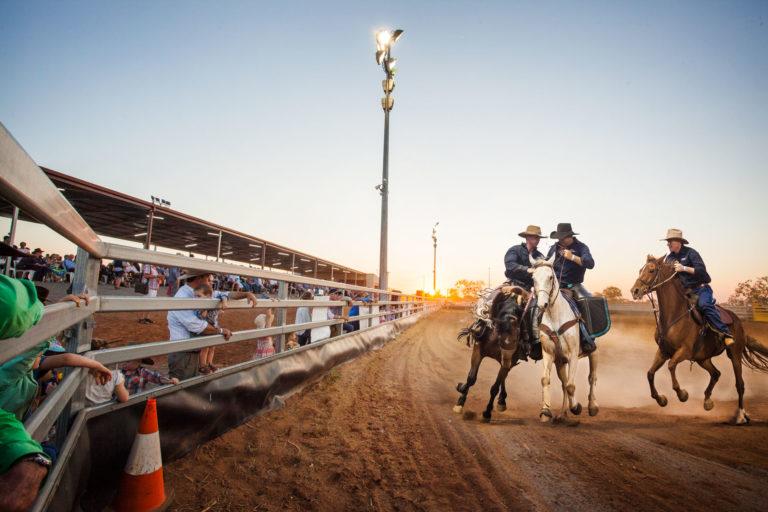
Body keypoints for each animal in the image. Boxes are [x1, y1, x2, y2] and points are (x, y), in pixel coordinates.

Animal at [456, 286, 528, 422]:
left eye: (517, 338)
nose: (509, 345)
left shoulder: (509, 360)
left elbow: (495, 387)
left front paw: (487, 413)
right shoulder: (478, 350)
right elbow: (471, 378)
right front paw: (460, 402)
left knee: (503, 378)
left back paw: (501, 401)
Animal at [532, 255, 596, 420]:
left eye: (550, 277)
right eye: (533, 278)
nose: (542, 304)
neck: (555, 317)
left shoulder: (573, 355)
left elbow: (571, 386)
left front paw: (576, 407)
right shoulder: (549, 354)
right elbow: (546, 380)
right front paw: (545, 410)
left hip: (594, 352)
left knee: (591, 377)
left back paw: (592, 406)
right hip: (560, 362)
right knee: (564, 383)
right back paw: (562, 413)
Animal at [632, 253, 768, 424]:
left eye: (651, 270)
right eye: (640, 270)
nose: (634, 291)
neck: (674, 315)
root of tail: (738, 322)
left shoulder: (684, 351)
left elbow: (671, 366)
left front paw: (682, 394)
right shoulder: (663, 351)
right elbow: (650, 373)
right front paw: (661, 399)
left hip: (734, 354)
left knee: (740, 385)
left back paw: (741, 416)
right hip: (702, 358)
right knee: (716, 374)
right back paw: (708, 402)